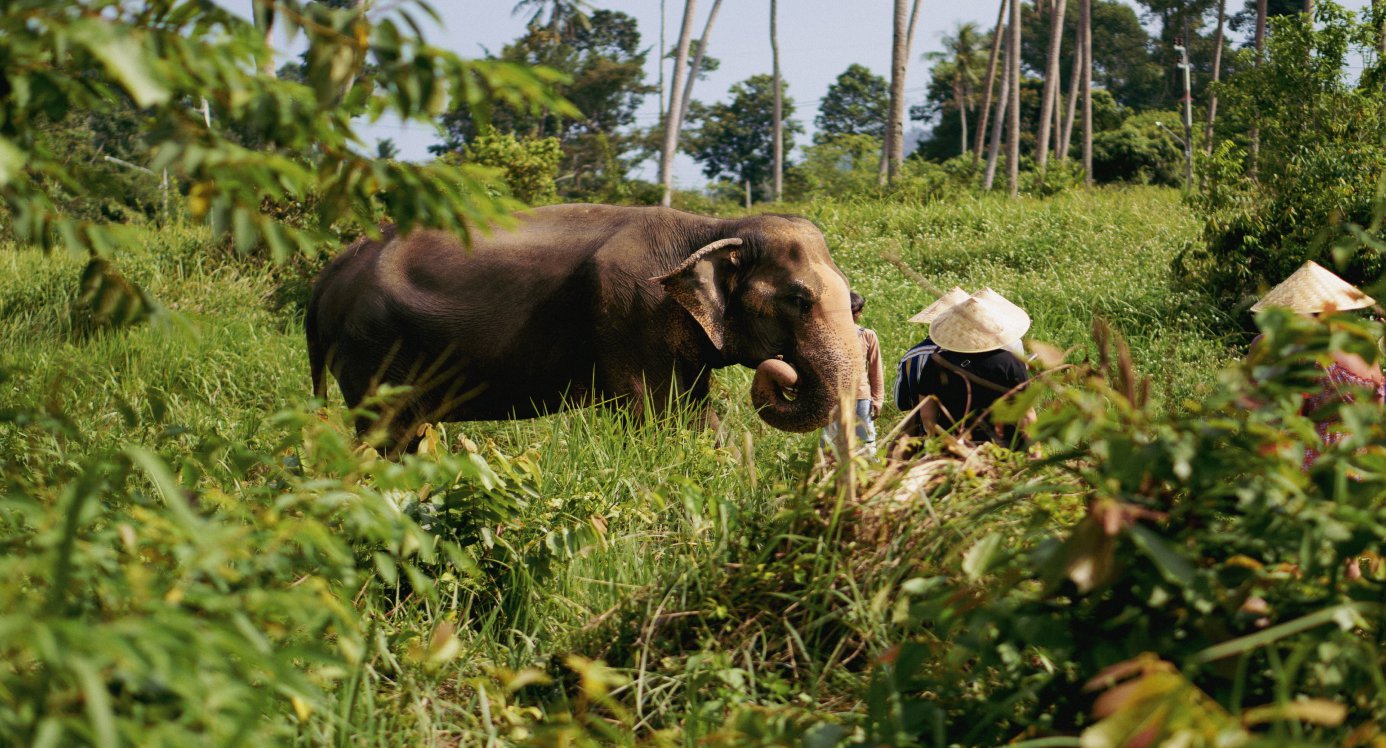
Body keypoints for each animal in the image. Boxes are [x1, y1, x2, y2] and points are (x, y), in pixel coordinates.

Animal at [309, 202, 859, 448]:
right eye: (798, 300)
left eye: (857, 303)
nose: (784, 370)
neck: (711, 226)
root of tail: (329, 273)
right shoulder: (631, 312)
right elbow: (656, 414)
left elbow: (697, 415)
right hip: (374, 350)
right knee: (389, 434)